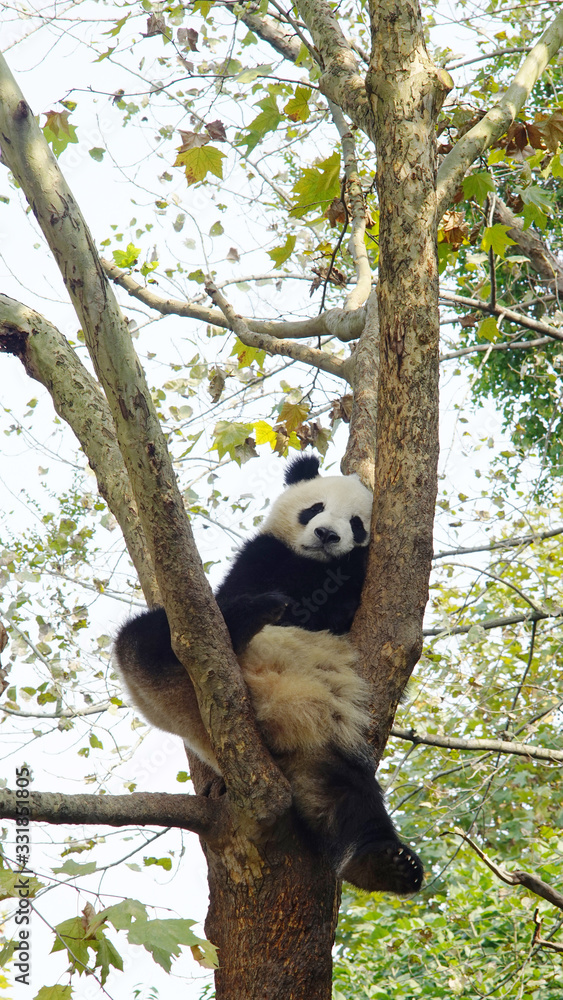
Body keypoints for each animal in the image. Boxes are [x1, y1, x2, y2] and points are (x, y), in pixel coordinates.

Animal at [115, 454, 423, 895]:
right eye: (315, 508)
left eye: (357, 524)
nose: (327, 535)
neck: (311, 562)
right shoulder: (261, 558)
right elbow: (283, 597)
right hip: (185, 674)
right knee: (147, 641)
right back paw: (248, 616)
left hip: (326, 741)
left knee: (348, 795)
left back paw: (385, 864)